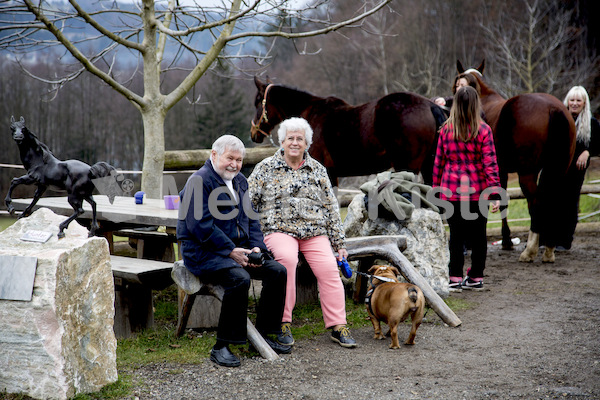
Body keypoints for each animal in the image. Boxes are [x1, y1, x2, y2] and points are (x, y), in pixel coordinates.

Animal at [460, 60, 576, 262]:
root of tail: (553, 108)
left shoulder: (499, 170)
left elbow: (499, 200)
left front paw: (506, 241)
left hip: (527, 173)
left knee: (535, 202)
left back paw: (530, 250)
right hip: (558, 169)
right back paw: (548, 248)